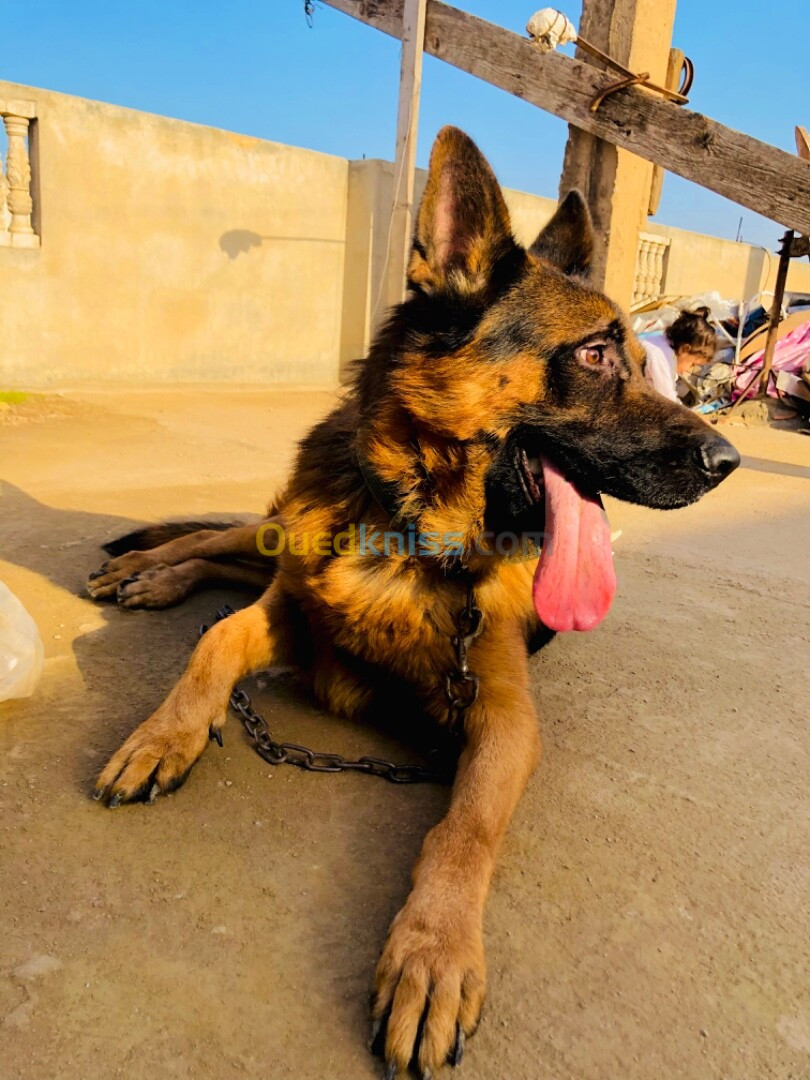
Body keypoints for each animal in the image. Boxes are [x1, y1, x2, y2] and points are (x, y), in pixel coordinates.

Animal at [90, 130, 743, 1075]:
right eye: (593, 353)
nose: (729, 461)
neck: (413, 530)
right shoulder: (291, 615)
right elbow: (211, 647)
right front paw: (163, 736)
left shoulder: (505, 717)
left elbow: (462, 831)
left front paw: (433, 953)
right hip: (279, 536)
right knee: (218, 540)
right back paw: (145, 569)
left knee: (223, 553)